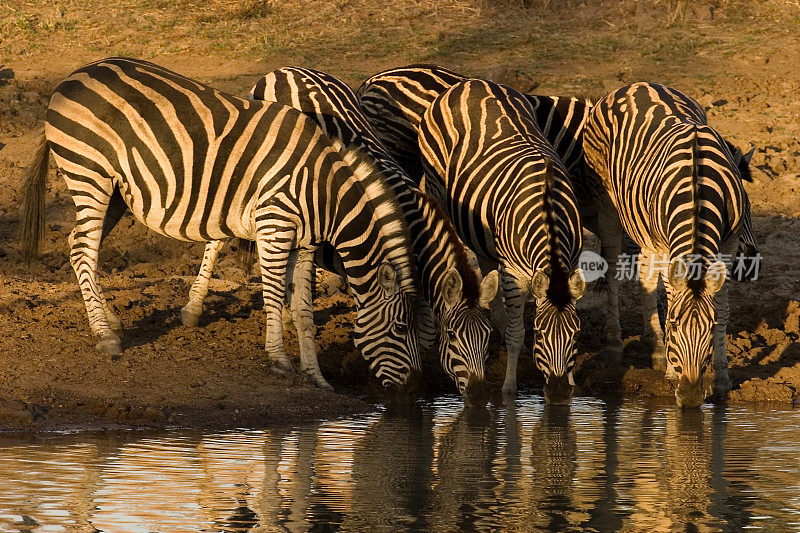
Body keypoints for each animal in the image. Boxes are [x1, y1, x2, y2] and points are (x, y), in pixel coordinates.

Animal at [18, 57, 422, 394]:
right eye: (403, 328)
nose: (414, 391)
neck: (322, 191)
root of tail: (73, 75)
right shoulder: (275, 226)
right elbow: (273, 296)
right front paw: (279, 361)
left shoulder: (305, 243)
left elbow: (304, 311)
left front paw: (316, 377)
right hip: (90, 172)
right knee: (82, 249)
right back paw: (105, 336)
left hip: (115, 191)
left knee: (80, 246)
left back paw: (111, 321)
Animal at [183, 68, 500, 406]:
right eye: (453, 336)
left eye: (488, 338)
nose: (481, 397)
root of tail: (284, 70)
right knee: (218, 234)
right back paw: (193, 308)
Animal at [416, 79, 584, 404]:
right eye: (540, 333)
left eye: (576, 334)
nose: (558, 394)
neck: (548, 209)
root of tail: (469, 82)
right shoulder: (513, 272)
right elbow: (517, 335)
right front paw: (509, 388)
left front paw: (572, 385)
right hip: (435, 185)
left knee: (484, 263)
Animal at [584, 81, 752, 408]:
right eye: (673, 325)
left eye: (710, 328)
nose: (690, 397)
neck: (698, 187)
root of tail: (637, 84)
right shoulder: (667, 245)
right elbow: (672, 294)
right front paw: (673, 372)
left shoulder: (727, 245)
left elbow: (723, 306)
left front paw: (722, 378)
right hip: (606, 200)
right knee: (614, 270)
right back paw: (615, 345)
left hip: (645, 229)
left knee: (645, 278)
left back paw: (657, 351)